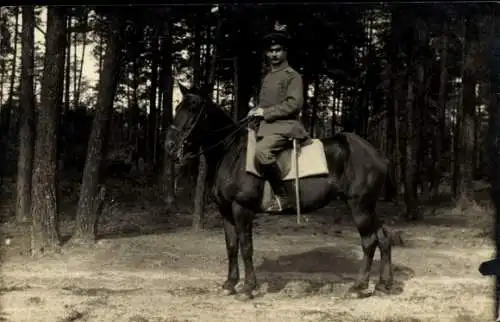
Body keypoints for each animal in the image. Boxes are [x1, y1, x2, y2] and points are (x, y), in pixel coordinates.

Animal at [166, 84, 396, 300]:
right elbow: (231, 245)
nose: (169, 145)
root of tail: (378, 154)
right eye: (177, 107)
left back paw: (359, 287)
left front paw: (248, 288)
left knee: (369, 242)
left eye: (193, 108)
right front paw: (230, 284)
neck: (231, 154)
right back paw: (383, 285)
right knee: (383, 238)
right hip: (369, 206)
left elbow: (246, 246)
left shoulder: (242, 209)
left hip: (359, 206)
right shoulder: (226, 211)